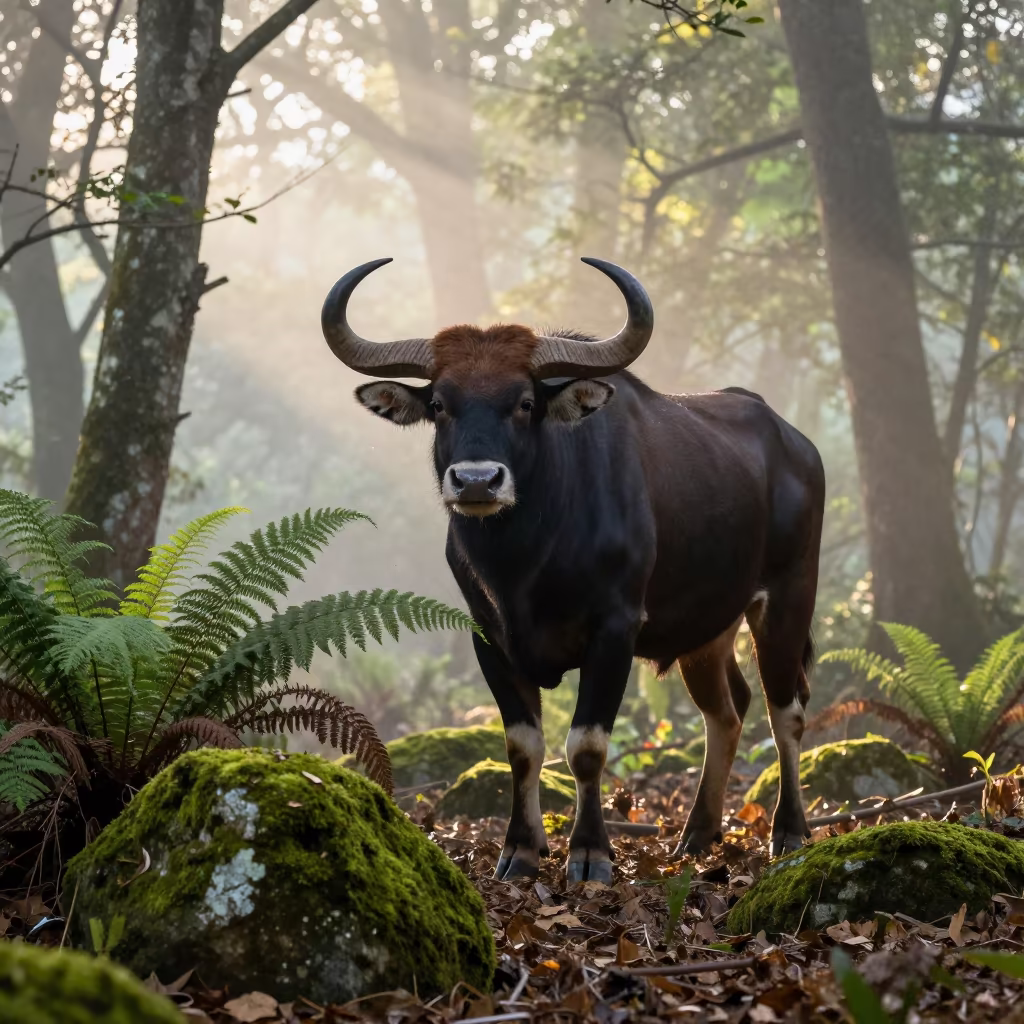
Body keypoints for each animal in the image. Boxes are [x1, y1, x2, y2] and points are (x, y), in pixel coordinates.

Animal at [321, 257, 825, 883]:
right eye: (439, 404)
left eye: (524, 402)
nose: (477, 481)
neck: (527, 560)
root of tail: (798, 446)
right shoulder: (488, 636)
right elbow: (522, 746)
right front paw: (520, 849)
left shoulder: (614, 629)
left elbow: (585, 745)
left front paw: (589, 853)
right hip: (706, 632)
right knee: (727, 711)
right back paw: (697, 834)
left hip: (788, 600)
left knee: (787, 713)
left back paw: (790, 831)